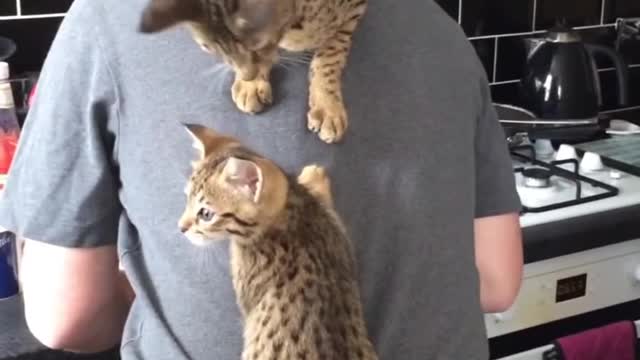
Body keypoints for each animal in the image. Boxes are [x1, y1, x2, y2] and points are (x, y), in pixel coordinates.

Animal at [139, 0, 370, 143]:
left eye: (258, 44)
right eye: (208, 48)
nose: (247, 75)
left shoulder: (353, 10)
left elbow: (331, 54)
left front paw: (327, 106)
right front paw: (250, 84)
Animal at [178, 124, 378, 360]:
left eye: (206, 214)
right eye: (187, 199)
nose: (180, 227)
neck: (289, 212)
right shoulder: (339, 235)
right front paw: (314, 178)